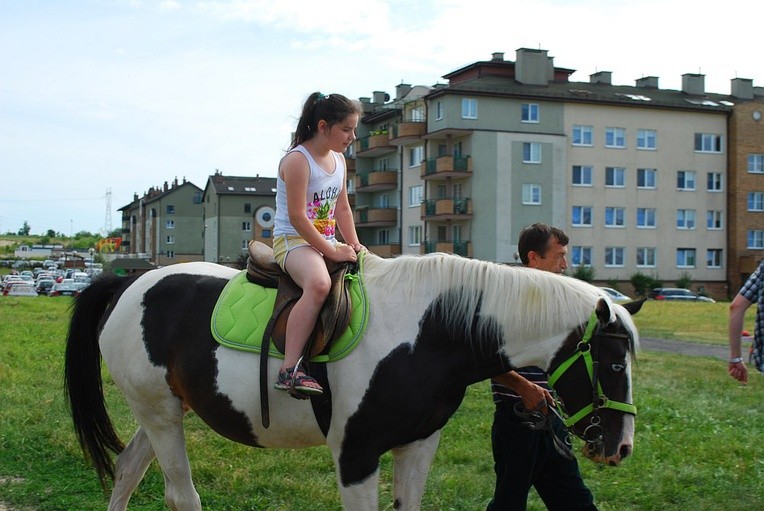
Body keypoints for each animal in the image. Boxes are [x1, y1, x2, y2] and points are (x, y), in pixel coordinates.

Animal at [64, 253, 640, 511]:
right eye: (615, 366)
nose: (621, 446)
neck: (426, 333)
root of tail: (128, 282)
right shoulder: (356, 455)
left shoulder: (418, 446)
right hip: (160, 415)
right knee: (181, 493)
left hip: (164, 411)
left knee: (127, 469)